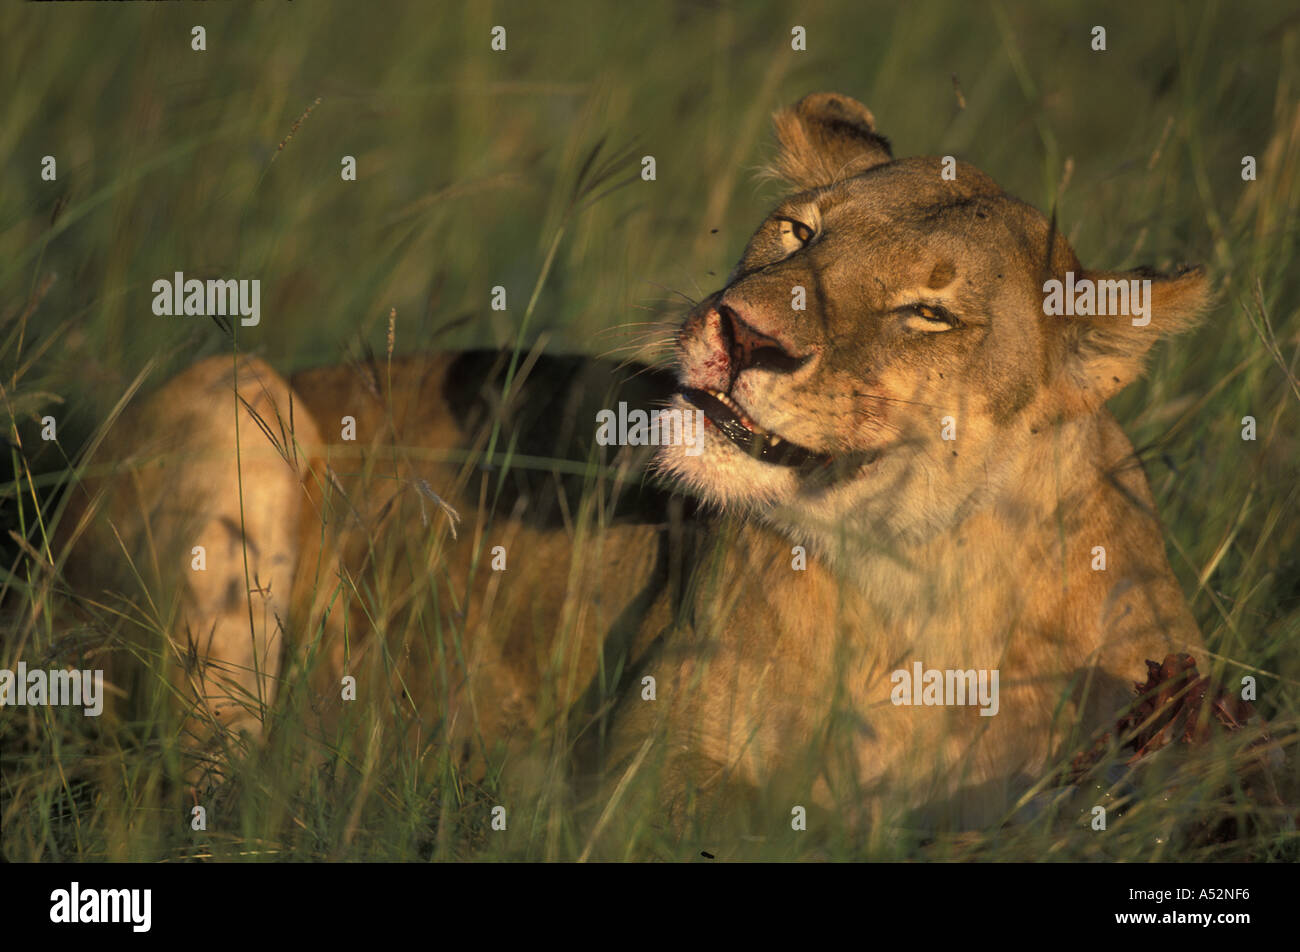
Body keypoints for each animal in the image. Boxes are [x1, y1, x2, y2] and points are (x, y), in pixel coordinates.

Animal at [58, 92, 1210, 833]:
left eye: (927, 313)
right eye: (797, 233)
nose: (742, 333)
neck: (923, 589)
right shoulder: (642, 779)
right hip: (233, 391)